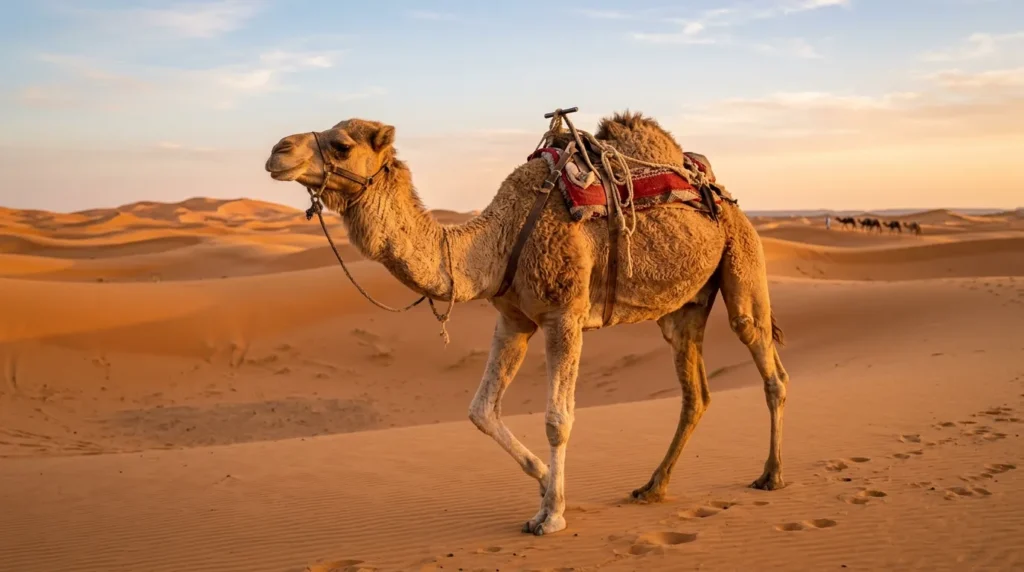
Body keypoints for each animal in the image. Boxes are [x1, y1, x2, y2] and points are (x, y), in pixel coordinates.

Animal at [263, 111, 789, 536]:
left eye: (341, 144)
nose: (277, 151)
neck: (495, 239)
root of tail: (721, 192)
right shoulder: (513, 319)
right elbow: (480, 410)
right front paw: (542, 482)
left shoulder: (564, 316)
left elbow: (558, 419)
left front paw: (551, 515)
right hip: (683, 309)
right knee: (695, 392)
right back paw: (652, 486)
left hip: (742, 259)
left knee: (766, 360)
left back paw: (771, 475)